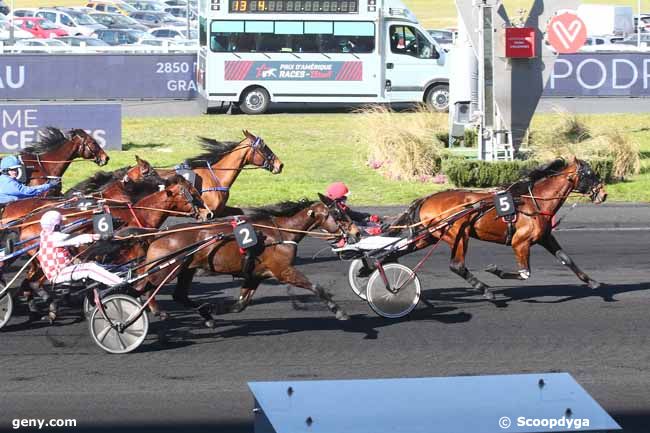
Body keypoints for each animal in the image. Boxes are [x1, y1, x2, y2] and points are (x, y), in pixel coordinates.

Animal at [125, 197, 360, 326]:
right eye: (339, 215)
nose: (357, 233)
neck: (281, 233)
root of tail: (159, 234)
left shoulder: (255, 274)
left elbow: (240, 304)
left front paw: (217, 309)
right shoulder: (283, 270)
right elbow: (316, 287)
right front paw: (340, 312)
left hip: (186, 269)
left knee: (178, 295)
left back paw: (206, 314)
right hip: (165, 268)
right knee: (143, 286)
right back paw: (154, 311)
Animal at [384, 157, 604, 298]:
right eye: (590, 174)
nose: (603, 194)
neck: (534, 202)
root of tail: (426, 199)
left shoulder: (544, 238)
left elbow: (566, 259)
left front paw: (592, 282)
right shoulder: (520, 242)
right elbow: (524, 273)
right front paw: (495, 270)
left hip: (428, 236)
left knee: (398, 250)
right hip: (458, 233)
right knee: (457, 265)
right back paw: (486, 290)